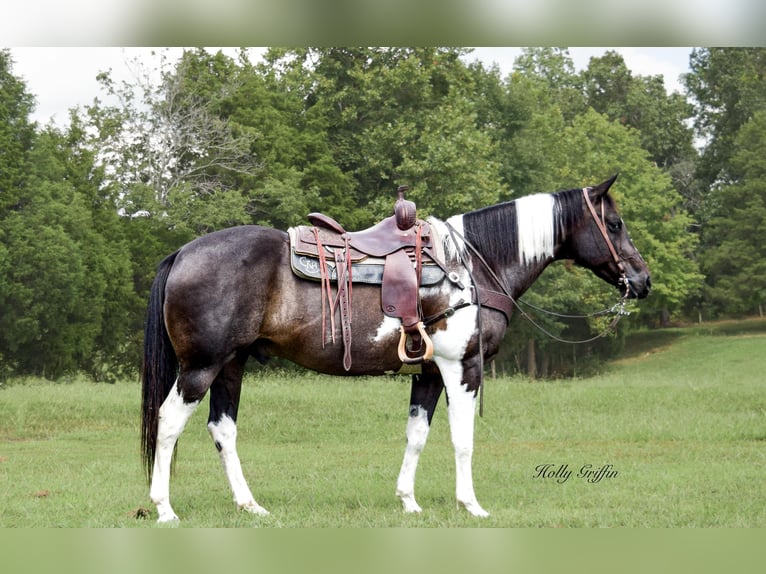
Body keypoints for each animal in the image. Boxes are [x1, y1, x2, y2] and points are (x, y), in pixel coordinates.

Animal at [141, 174, 652, 520]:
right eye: (614, 223)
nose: (643, 280)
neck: (470, 267)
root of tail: (183, 252)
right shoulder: (461, 368)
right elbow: (462, 439)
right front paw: (471, 504)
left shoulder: (428, 372)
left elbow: (417, 434)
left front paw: (409, 501)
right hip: (201, 366)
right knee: (168, 421)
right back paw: (163, 507)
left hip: (232, 364)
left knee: (222, 429)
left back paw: (250, 505)